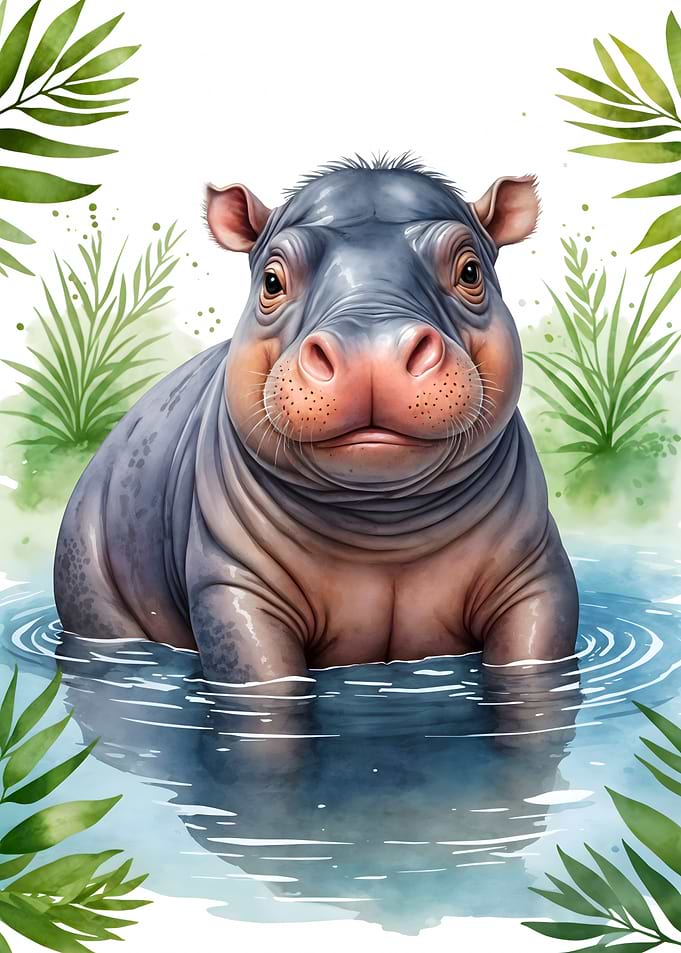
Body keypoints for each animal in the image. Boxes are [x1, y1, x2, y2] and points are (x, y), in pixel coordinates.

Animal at [54, 154, 579, 684]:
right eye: (271, 280)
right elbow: (263, 681)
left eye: (470, 270)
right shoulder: (233, 588)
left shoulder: (537, 577)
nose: (371, 347)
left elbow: (533, 660)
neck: (383, 524)